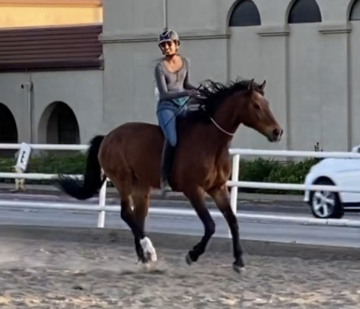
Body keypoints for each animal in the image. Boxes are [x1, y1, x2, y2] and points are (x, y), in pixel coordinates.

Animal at [56, 78, 282, 274]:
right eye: (256, 106)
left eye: (267, 103)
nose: (277, 132)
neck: (210, 142)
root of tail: (107, 137)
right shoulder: (194, 190)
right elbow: (210, 225)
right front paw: (192, 255)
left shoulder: (217, 188)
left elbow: (233, 221)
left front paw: (239, 262)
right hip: (123, 180)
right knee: (126, 214)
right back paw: (150, 252)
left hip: (141, 188)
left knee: (138, 218)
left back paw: (145, 259)